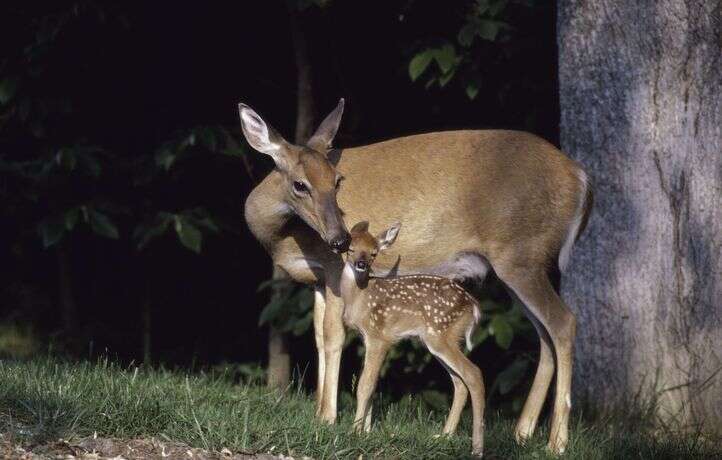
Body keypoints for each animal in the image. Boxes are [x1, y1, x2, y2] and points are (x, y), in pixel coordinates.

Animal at [338, 222, 484, 456]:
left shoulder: (379, 337)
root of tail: (473, 304)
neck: (360, 297)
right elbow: (373, 384)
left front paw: (354, 432)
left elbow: (364, 385)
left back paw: (477, 447)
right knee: (460, 382)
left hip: (440, 334)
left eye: (373, 253)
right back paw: (444, 436)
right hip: (442, 339)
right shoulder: (369, 339)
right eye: (350, 249)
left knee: (474, 373)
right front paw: (366, 432)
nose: (361, 264)